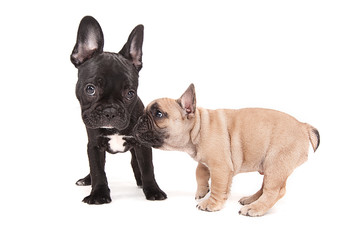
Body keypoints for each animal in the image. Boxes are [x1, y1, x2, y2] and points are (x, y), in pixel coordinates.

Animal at [70, 15, 167, 204]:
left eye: (130, 93)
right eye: (90, 89)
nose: (110, 111)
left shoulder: (142, 145)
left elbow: (147, 168)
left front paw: (153, 190)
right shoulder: (94, 145)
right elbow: (98, 170)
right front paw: (98, 193)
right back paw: (86, 179)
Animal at [131, 84, 320, 216]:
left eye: (158, 114)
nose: (139, 118)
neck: (199, 127)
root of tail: (304, 126)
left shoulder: (220, 167)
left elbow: (217, 185)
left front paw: (211, 203)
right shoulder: (207, 162)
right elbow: (200, 172)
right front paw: (202, 191)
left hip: (276, 165)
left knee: (274, 191)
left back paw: (256, 208)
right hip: (268, 167)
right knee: (265, 187)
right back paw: (251, 200)